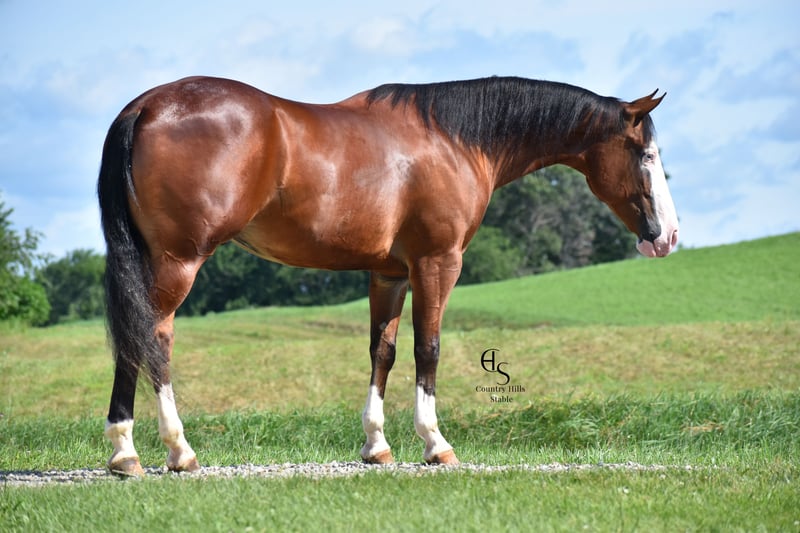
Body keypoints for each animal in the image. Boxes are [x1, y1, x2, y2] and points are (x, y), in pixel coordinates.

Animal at [97, 75, 678, 476]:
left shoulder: (389, 274)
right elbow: (429, 349)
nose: (667, 237)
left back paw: (126, 453)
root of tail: (145, 106)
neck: (454, 140)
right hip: (179, 260)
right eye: (646, 153)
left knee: (133, 338)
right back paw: (170, 450)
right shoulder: (437, 263)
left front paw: (377, 446)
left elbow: (384, 351)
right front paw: (435, 443)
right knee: (153, 337)